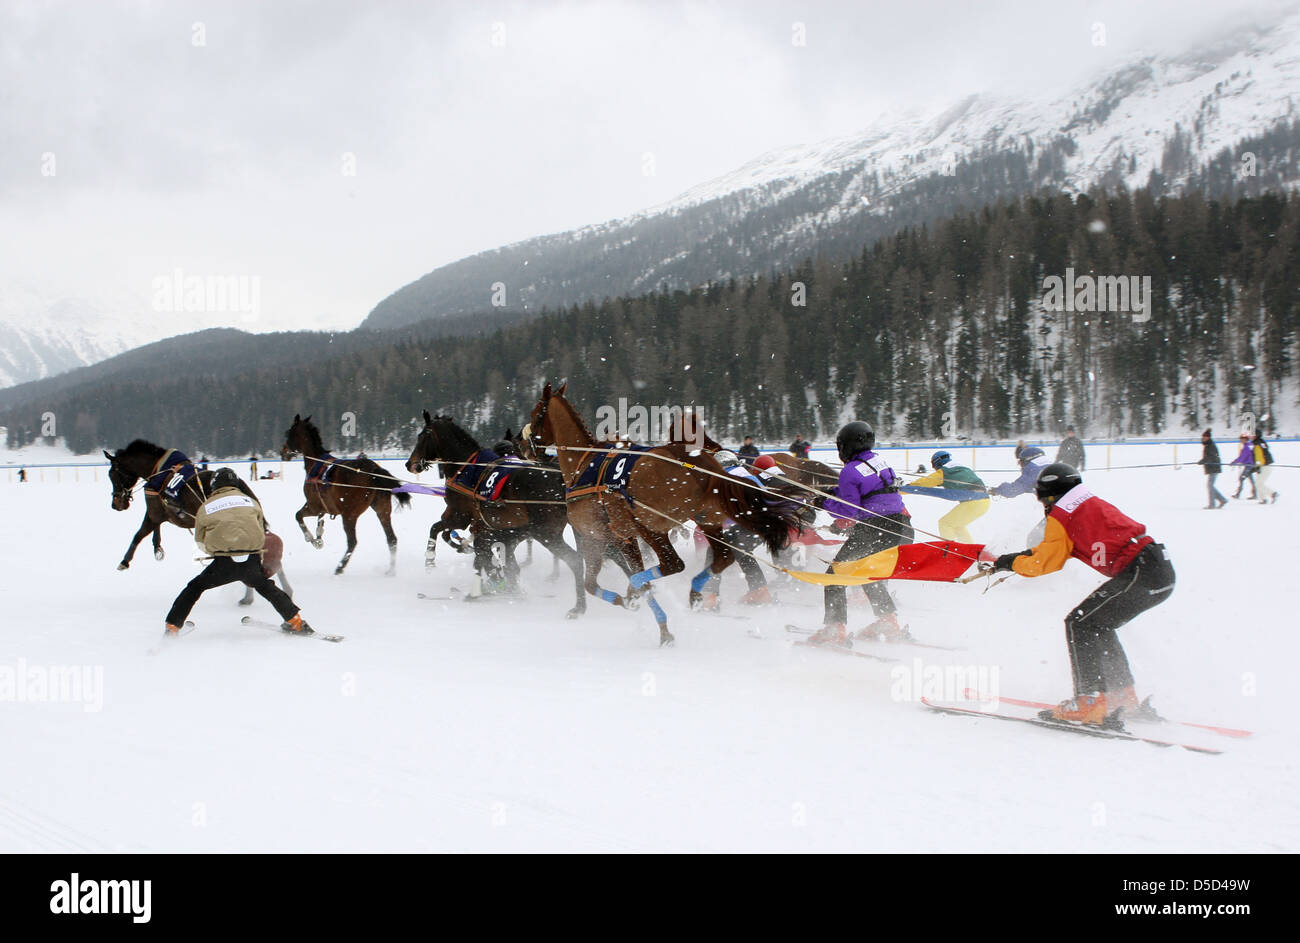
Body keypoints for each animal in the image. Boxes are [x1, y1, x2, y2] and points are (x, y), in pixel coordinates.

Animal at [282, 413, 408, 574]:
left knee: (352, 542)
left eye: (288, 433)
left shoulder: (313, 505)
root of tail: (373, 471)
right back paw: (390, 570)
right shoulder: (323, 507)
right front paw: (318, 537)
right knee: (391, 539)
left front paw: (312, 539)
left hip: (349, 515)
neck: (316, 463)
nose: (283, 451)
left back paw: (339, 568)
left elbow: (298, 516)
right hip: (382, 509)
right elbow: (319, 520)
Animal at [525, 379, 790, 639]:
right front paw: (662, 627)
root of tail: (694, 461)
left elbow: (597, 582)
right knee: (723, 556)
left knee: (673, 564)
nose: (523, 445)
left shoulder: (597, 536)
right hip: (706, 519)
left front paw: (633, 599)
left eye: (536, 414)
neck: (583, 464)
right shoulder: (622, 537)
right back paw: (694, 591)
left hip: (649, 525)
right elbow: (600, 581)